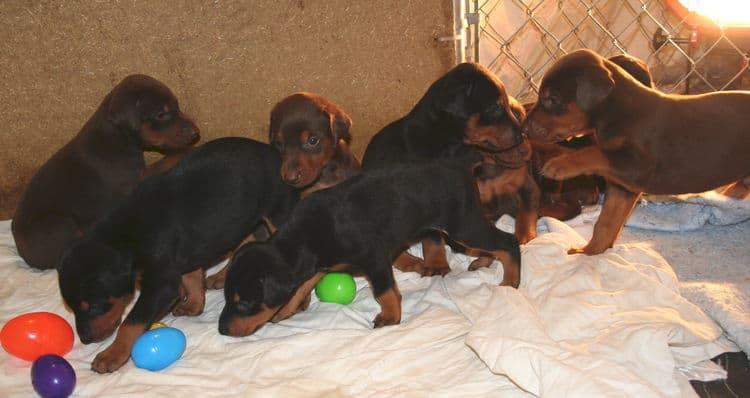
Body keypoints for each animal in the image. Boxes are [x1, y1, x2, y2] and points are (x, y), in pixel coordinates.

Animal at [12, 74, 200, 270]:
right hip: (58, 225)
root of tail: (25, 256)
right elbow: (165, 161)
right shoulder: (134, 180)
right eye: (161, 114)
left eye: (177, 105)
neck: (117, 137)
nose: (196, 133)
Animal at [57, 138, 298, 374]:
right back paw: (221, 276)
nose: (85, 339)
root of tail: (273, 152)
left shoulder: (161, 284)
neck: (126, 235)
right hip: (238, 218)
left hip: (278, 213)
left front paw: (112, 355)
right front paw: (194, 304)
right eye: (72, 307)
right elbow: (191, 277)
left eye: (94, 306)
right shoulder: (186, 254)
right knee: (246, 239)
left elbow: (131, 322)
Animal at [219, 160, 524, 338]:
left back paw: (511, 280)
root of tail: (463, 170)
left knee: (508, 241)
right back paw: (484, 262)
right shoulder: (319, 264)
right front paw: (285, 310)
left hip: (462, 224)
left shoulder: (374, 258)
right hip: (466, 225)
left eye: (243, 302)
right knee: (492, 242)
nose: (222, 330)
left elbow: (384, 291)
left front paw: (390, 317)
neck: (302, 238)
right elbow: (301, 287)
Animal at [364, 63, 528, 276]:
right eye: (494, 107)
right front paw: (437, 264)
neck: (451, 146)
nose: (521, 135)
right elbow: (433, 236)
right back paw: (411, 261)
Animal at [524, 49, 750, 255]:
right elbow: (606, 223)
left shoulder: (636, 168)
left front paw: (560, 164)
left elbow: (594, 152)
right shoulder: (622, 187)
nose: (524, 128)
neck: (621, 112)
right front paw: (589, 252)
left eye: (552, 99)